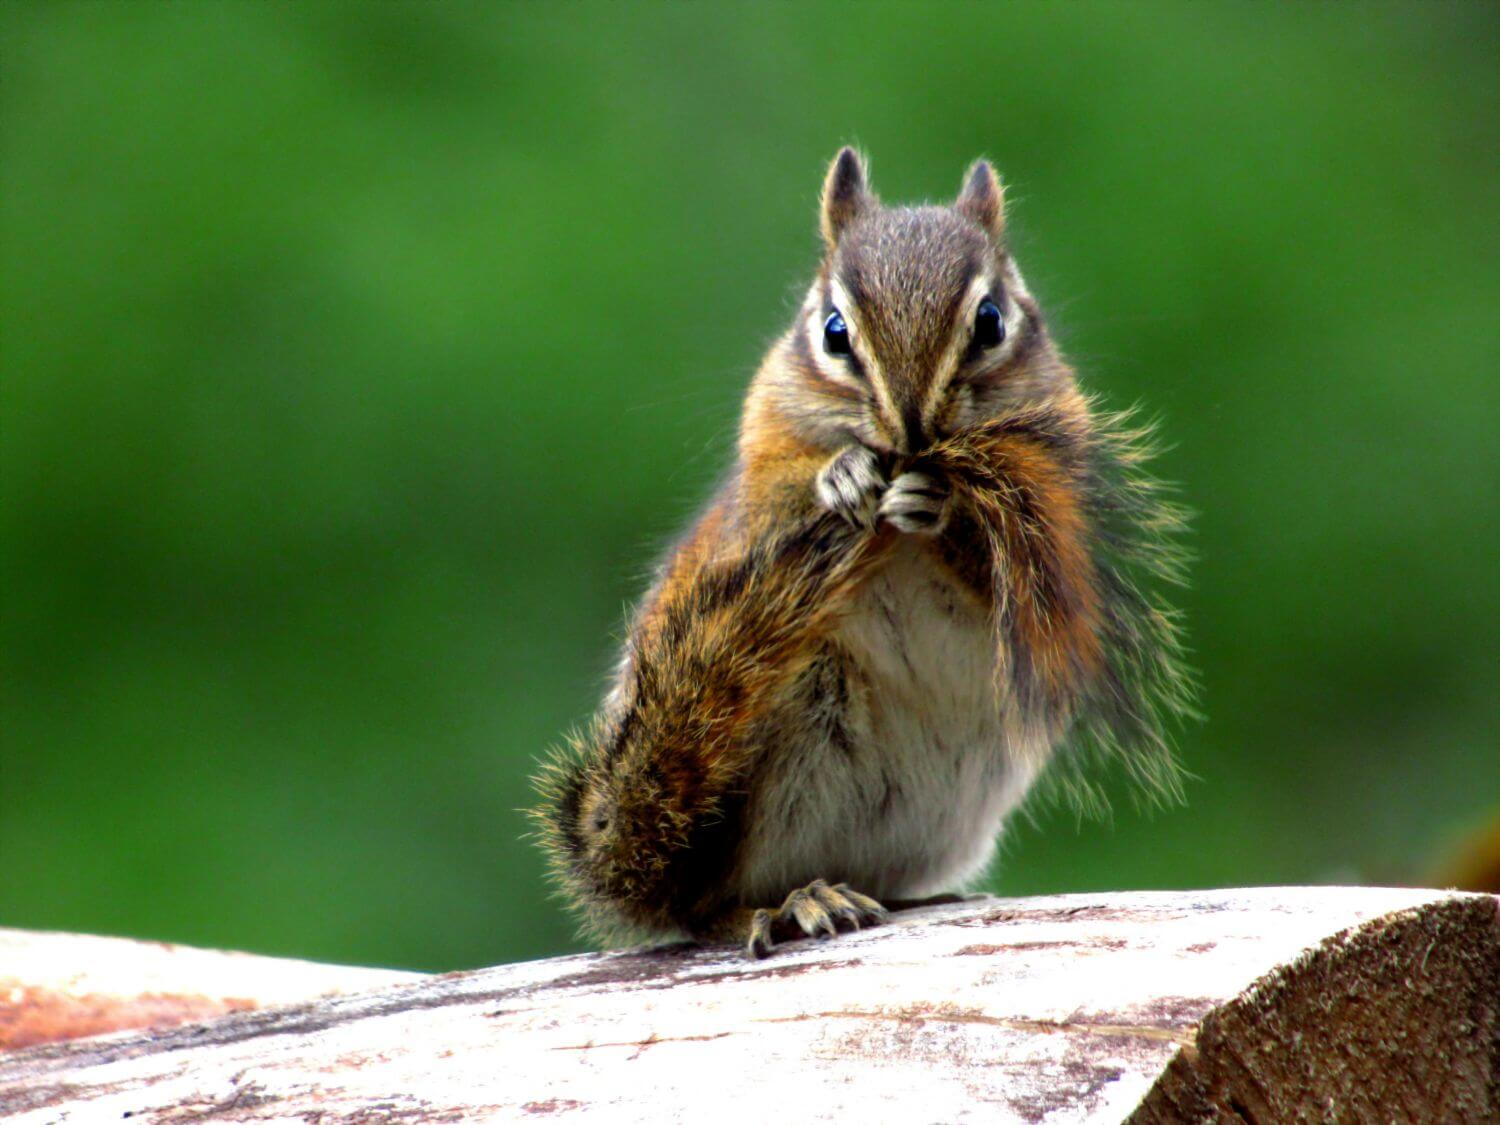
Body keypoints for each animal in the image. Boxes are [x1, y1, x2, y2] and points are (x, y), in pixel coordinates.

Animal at [534, 149, 1192, 957]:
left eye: (991, 321)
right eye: (833, 329)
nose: (910, 426)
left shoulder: (1056, 515)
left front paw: (938, 508)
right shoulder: (756, 488)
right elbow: (781, 497)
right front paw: (842, 474)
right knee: (708, 909)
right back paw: (791, 903)